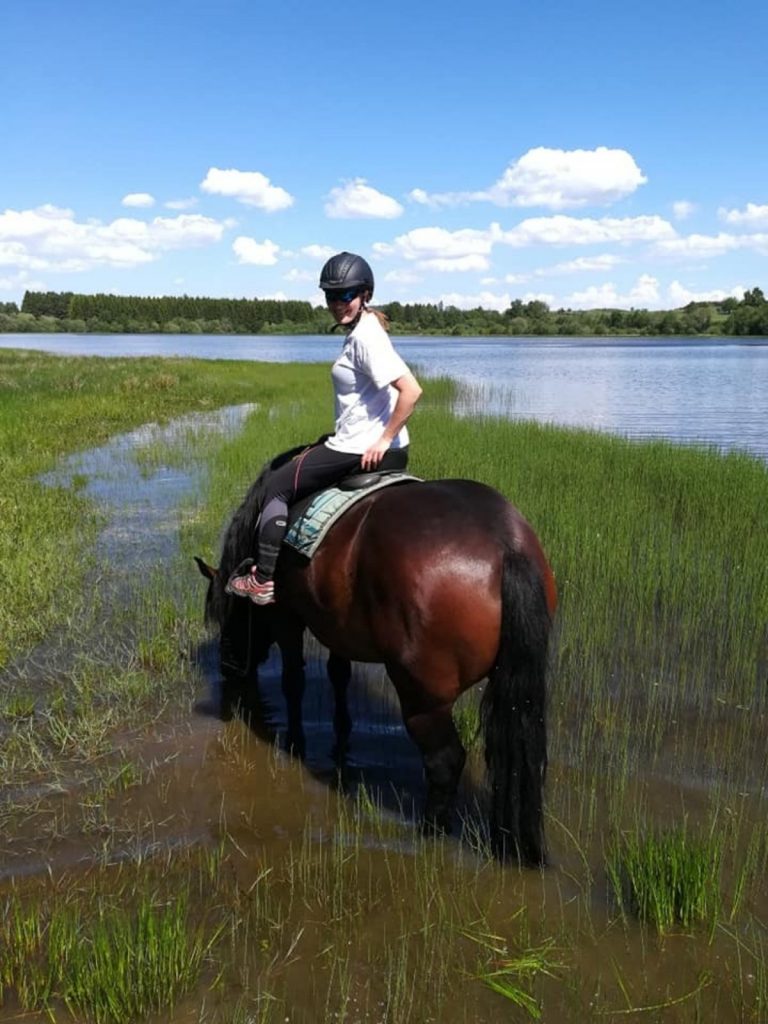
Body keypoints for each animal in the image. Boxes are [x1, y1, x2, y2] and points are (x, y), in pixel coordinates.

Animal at [198, 448, 561, 864]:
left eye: (225, 615)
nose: (227, 668)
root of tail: (506, 546)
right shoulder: (335, 625)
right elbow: (338, 675)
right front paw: (341, 736)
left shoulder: (286, 617)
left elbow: (294, 680)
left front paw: (295, 742)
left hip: (422, 696)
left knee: (445, 761)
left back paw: (430, 830)